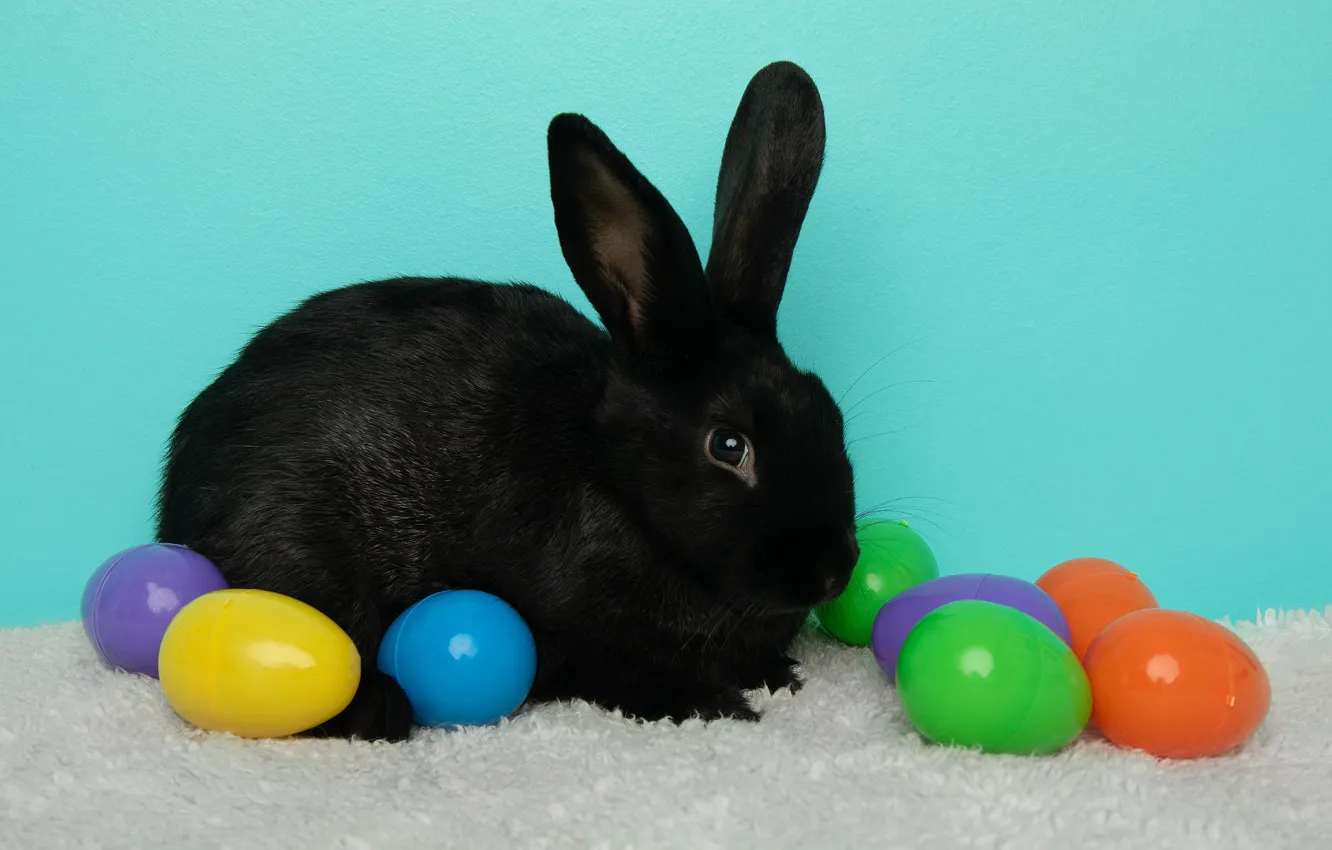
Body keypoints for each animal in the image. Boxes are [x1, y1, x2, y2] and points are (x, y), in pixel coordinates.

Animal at [154, 60, 859, 742]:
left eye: (830, 412)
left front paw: (781, 675)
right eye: (728, 445)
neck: (618, 485)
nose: (835, 570)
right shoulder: (572, 640)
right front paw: (719, 705)